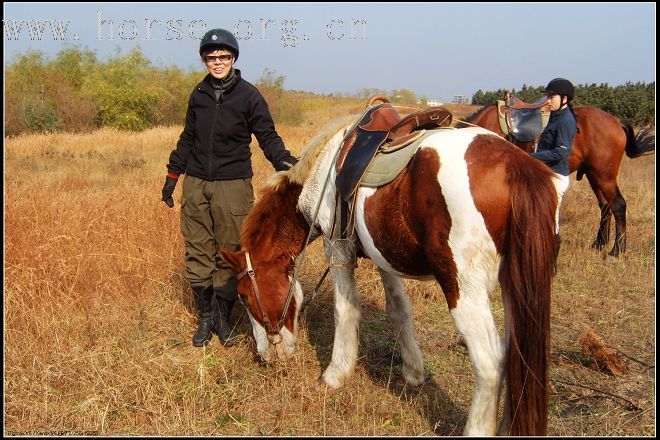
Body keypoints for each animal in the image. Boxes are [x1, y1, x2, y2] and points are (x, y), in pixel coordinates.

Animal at [220, 117, 556, 436]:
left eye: (245, 297)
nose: (265, 355)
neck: (321, 175)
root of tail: (516, 166)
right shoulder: (383, 256)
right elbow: (398, 310)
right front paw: (413, 371)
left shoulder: (336, 247)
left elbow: (345, 311)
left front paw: (335, 375)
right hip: (514, 287)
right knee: (517, 355)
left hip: (463, 288)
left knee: (490, 363)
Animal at [464, 104, 656, 258]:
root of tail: (616, 121)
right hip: (594, 176)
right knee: (605, 206)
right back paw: (599, 244)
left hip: (604, 176)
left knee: (618, 205)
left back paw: (617, 249)